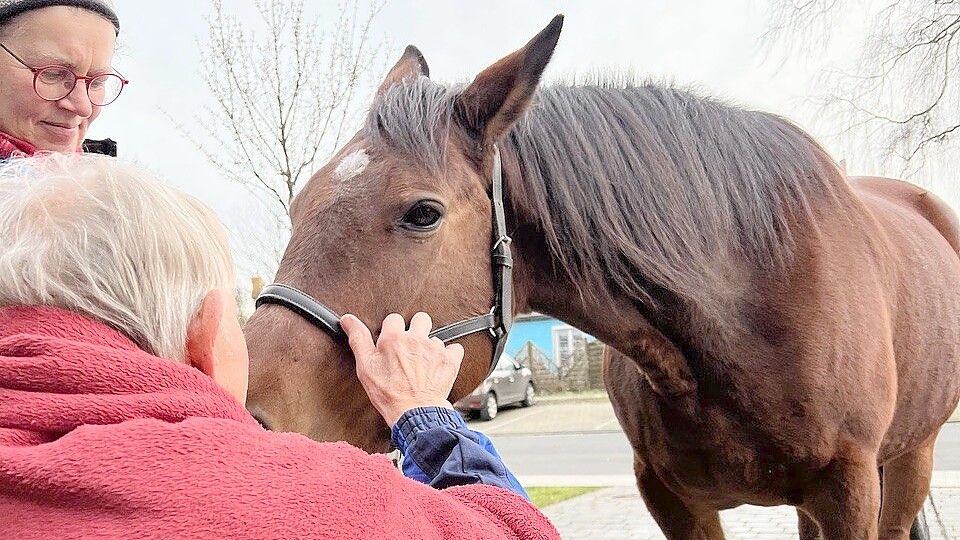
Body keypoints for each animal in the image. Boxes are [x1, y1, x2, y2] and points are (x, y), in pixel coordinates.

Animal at [242, 16, 960, 540]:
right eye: (299, 204)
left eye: (423, 213)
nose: (252, 414)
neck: (746, 308)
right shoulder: (673, 499)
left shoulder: (848, 492)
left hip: (912, 458)